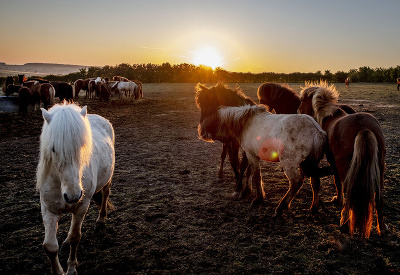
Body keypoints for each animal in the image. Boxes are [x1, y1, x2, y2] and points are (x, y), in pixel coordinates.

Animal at [36, 102, 115, 274]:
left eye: (82, 146)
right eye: (53, 149)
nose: (73, 196)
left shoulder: (81, 207)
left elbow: (75, 237)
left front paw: (71, 268)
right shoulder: (48, 210)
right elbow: (50, 247)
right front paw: (59, 271)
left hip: (107, 180)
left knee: (105, 194)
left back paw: (100, 220)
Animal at [200, 105, 328, 218]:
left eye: (213, 120)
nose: (201, 132)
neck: (246, 123)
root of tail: (315, 130)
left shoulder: (252, 155)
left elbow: (256, 175)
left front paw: (258, 198)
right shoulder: (251, 154)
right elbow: (249, 172)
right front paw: (245, 191)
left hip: (289, 164)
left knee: (296, 182)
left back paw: (280, 208)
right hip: (312, 163)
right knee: (315, 182)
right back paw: (314, 207)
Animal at [296, 81, 388, 239]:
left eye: (301, 101)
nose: (297, 111)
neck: (328, 117)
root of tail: (365, 129)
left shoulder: (333, 162)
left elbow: (337, 181)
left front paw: (338, 200)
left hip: (347, 168)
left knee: (350, 194)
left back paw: (344, 223)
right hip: (379, 169)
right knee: (379, 199)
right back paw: (381, 228)